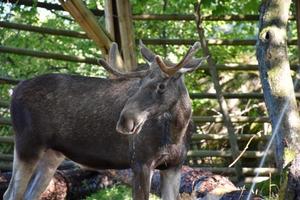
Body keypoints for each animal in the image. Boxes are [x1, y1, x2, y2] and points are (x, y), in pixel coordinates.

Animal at [2, 41, 204, 199]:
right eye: (139, 83)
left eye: (161, 86)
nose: (125, 120)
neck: (177, 133)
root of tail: (14, 91)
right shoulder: (140, 162)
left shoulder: (174, 166)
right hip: (27, 145)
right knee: (11, 193)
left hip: (52, 155)